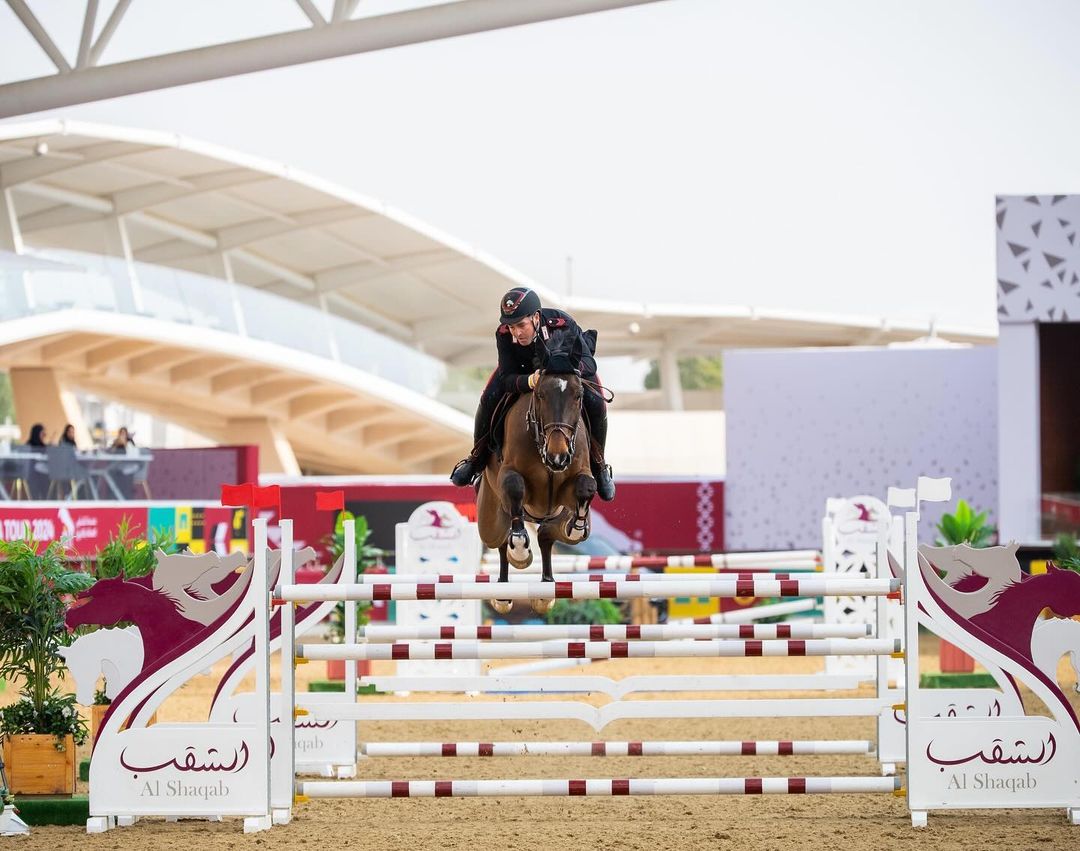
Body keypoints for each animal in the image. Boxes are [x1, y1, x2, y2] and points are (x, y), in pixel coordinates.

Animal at [476, 342, 597, 614]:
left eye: (578, 395)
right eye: (540, 394)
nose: (558, 457)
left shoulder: (570, 486)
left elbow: (587, 485)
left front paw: (578, 527)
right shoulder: (512, 479)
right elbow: (515, 488)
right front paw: (520, 550)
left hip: (554, 516)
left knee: (546, 535)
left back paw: (545, 590)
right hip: (489, 520)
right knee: (501, 539)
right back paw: (503, 593)